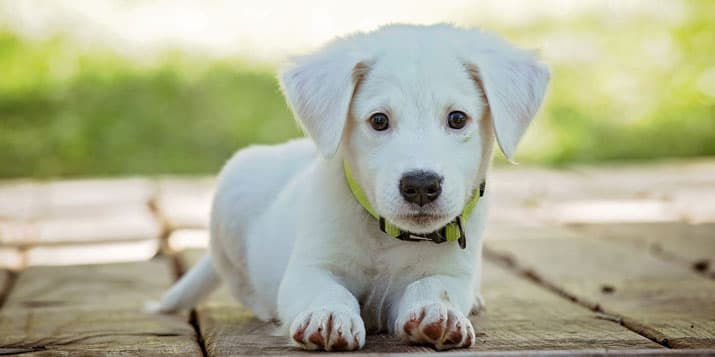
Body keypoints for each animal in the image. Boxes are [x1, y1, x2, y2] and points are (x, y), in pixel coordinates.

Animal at [154, 23, 552, 350]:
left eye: (457, 119)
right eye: (378, 121)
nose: (420, 185)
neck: (387, 236)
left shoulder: (452, 272)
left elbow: (434, 287)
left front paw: (437, 312)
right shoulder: (310, 267)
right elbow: (326, 289)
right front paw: (329, 315)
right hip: (232, 194)